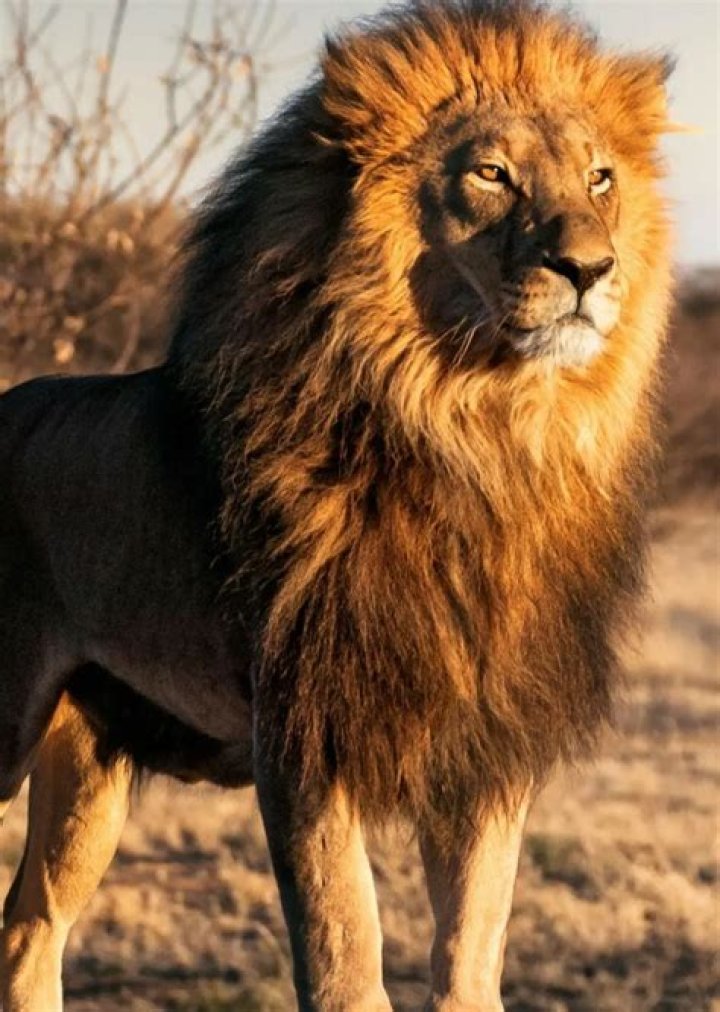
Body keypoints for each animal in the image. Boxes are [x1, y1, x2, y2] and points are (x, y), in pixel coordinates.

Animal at [0, 1, 674, 1009]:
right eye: (491, 174)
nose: (591, 267)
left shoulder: (486, 749)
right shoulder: (303, 737)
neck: (476, 435)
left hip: (88, 761)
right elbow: (345, 953)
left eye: (600, 178)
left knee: (28, 933)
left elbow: (471, 956)